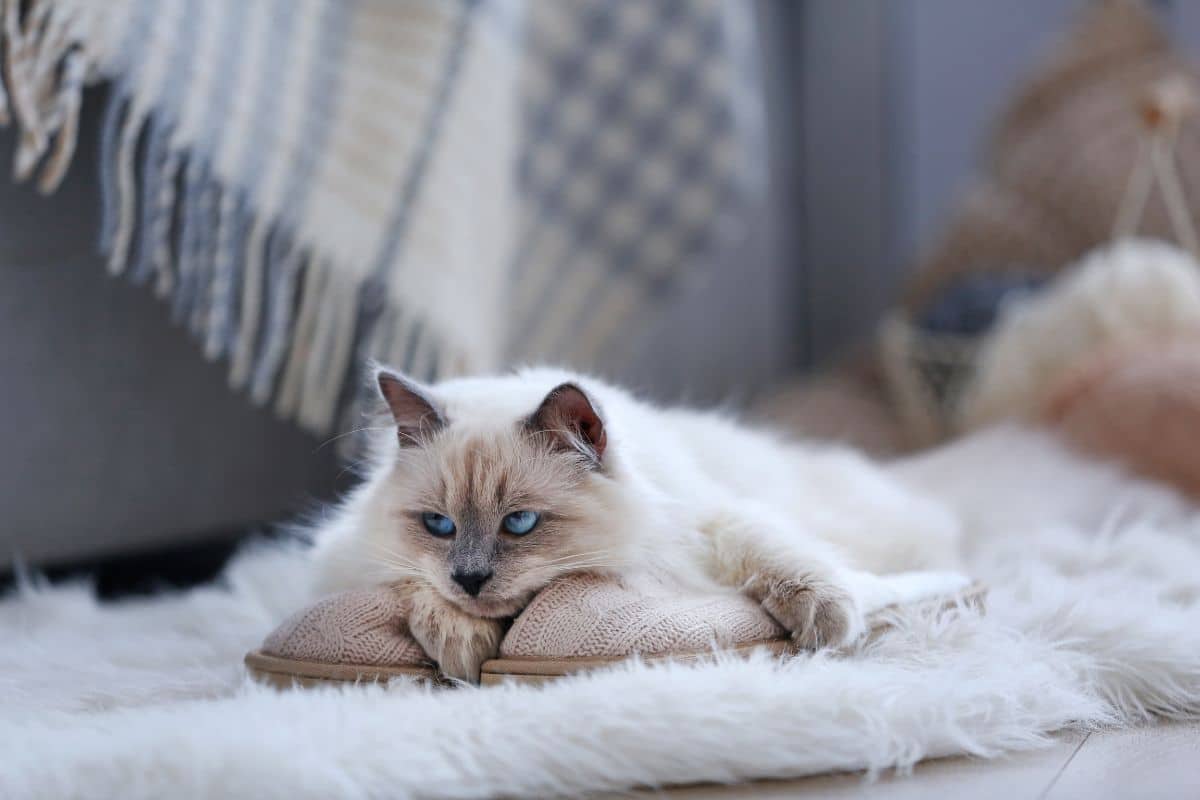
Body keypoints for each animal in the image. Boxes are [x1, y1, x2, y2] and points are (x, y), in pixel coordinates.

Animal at [312, 367, 974, 681]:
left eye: (520, 522)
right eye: (439, 526)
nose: (470, 580)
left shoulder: (710, 521)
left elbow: (778, 555)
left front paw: (827, 621)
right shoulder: (346, 558)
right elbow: (411, 584)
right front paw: (461, 645)